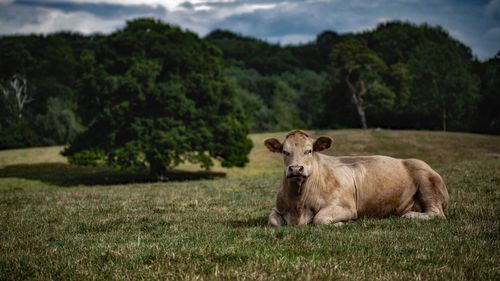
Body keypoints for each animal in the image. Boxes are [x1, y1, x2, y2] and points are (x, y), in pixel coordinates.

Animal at [266, 130, 450, 225]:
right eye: (285, 151)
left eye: (309, 150)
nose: (296, 168)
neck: (299, 205)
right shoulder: (278, 209)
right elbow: (273, 221)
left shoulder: (346, 207)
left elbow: (320, 218)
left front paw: (340, 224)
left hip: (427, 181)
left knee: (436, 213)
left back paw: (409, 215)